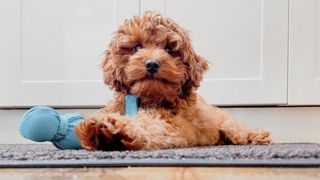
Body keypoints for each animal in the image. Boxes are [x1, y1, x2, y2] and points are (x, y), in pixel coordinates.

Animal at [75, 10, 272, 150]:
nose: (152, 64)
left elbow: (153, 127)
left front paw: (118, 130)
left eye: (170, 49)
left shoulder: (175, 127)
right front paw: (97, 131)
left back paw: (258, 137)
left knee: (240, 132)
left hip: (229, 125)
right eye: (137, 47)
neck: (147, 98)